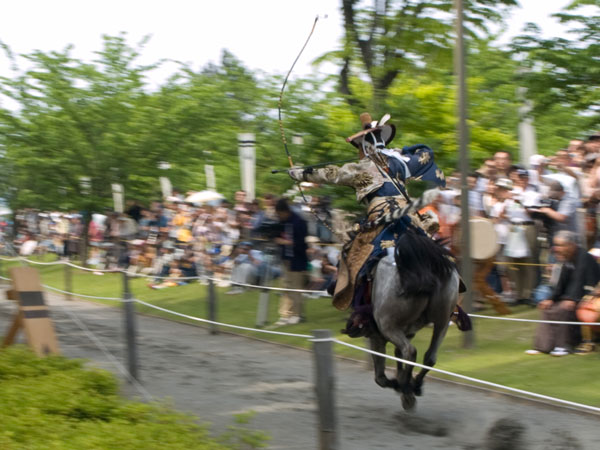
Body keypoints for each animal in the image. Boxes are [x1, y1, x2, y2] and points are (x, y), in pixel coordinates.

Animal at [366, 230, 460, 410]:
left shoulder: (377, 333)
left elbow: (380, 376)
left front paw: (399, 384)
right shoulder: (407, 330)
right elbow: (397, 353)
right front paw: (404, 382)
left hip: (386, 325)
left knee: (410, 352)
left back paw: (406, 386)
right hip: (443, 320)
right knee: (429, 356)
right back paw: (415, 384)